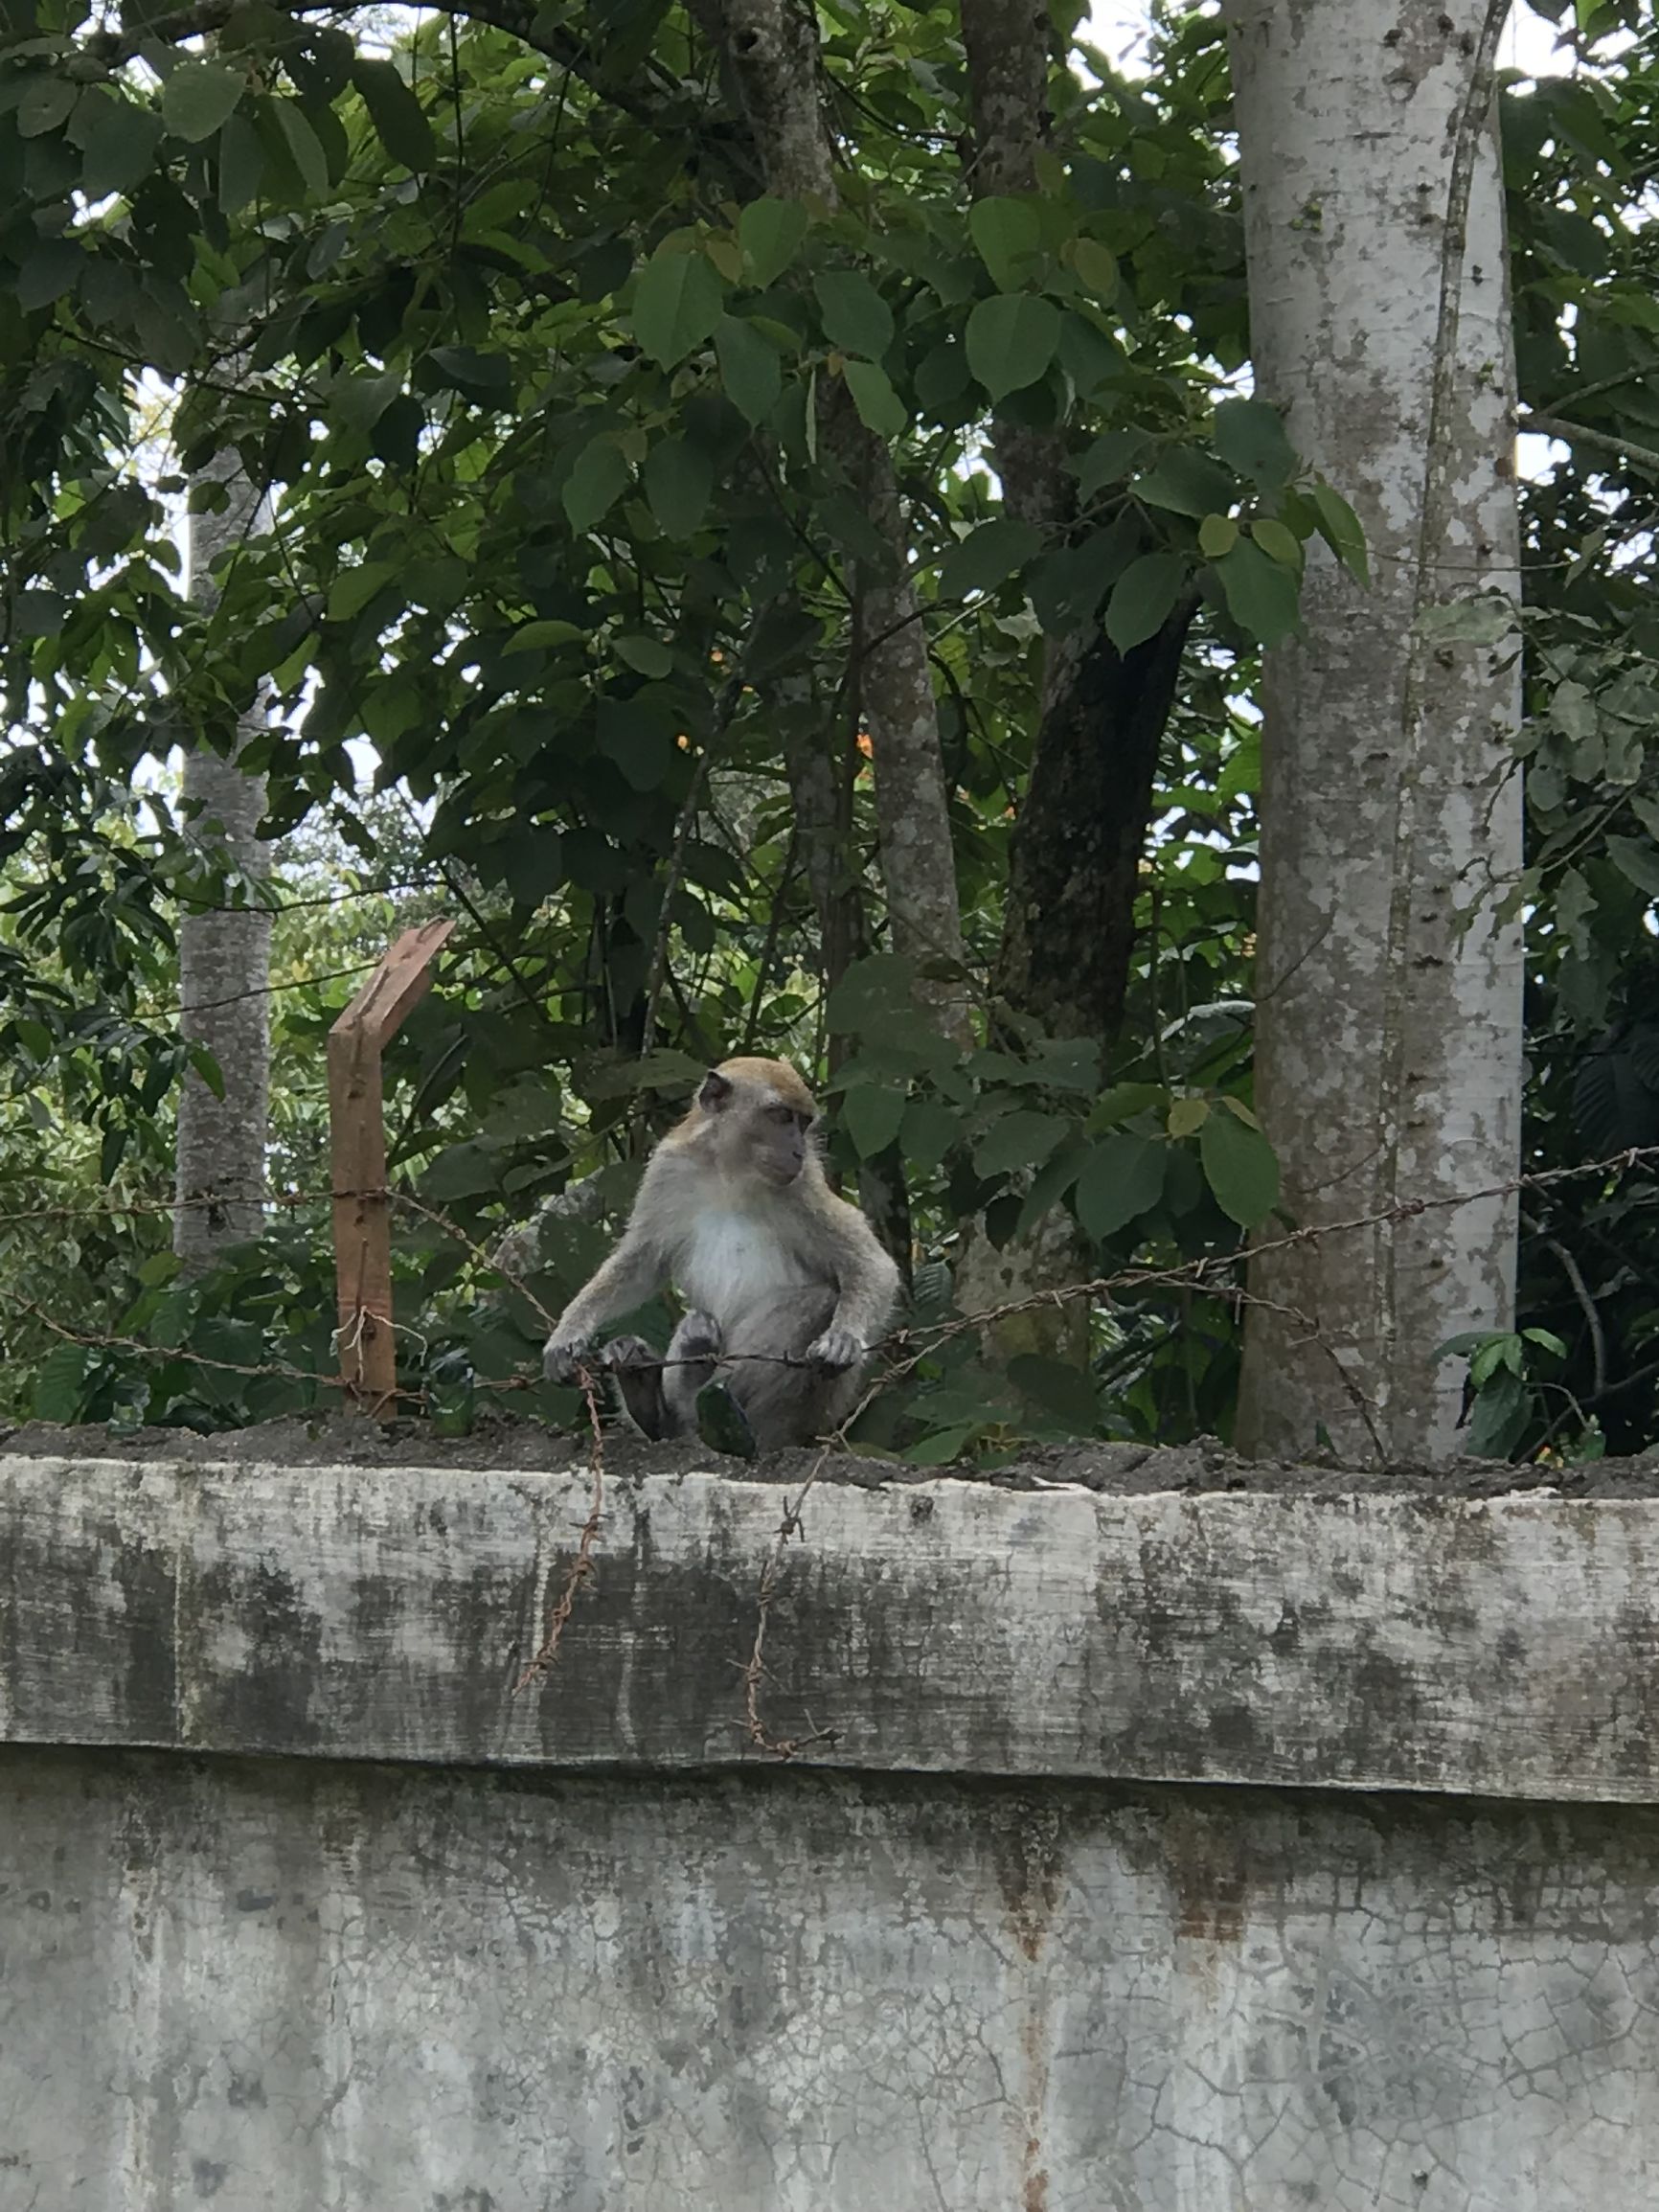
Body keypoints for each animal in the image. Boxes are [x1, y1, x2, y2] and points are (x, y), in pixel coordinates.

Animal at [546, 1061, 902, 1459]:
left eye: (803, 1122)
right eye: (781, 1116)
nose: (797, 1151)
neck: (731, 1175)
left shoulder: (804, 1187)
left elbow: (871, 1265)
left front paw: (843, 1338)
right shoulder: (667, 1170)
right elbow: (641, 1263)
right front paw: (569, 1333)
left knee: (818, 1302)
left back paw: (718, 1417)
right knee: (699, 1322)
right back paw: (656, 1398)